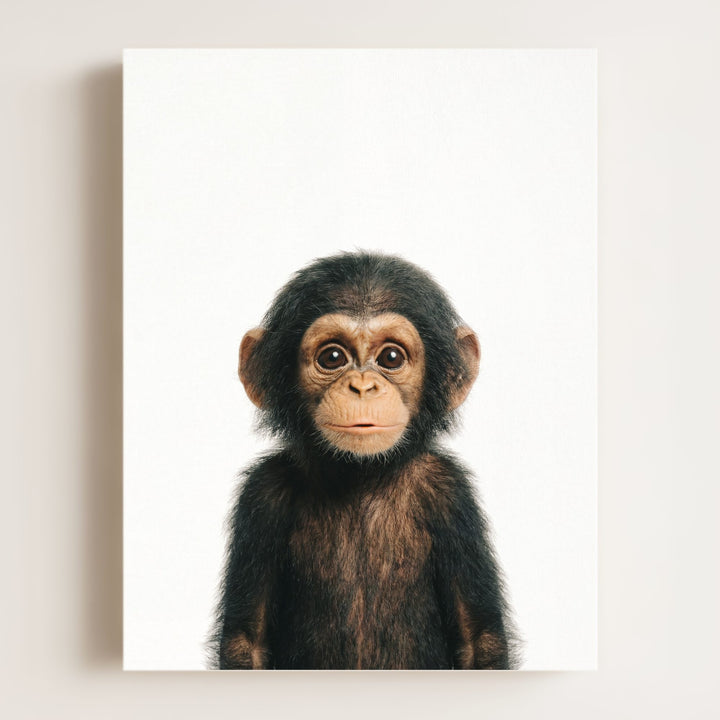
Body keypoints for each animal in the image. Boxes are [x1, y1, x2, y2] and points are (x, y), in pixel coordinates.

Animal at [210, 251, 519, 670]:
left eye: (391, 357)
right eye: (332, 357)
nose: (362, 386)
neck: (361, 476)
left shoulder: (451, 493)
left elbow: (479, 640)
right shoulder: (261, 495)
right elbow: (246, 641)